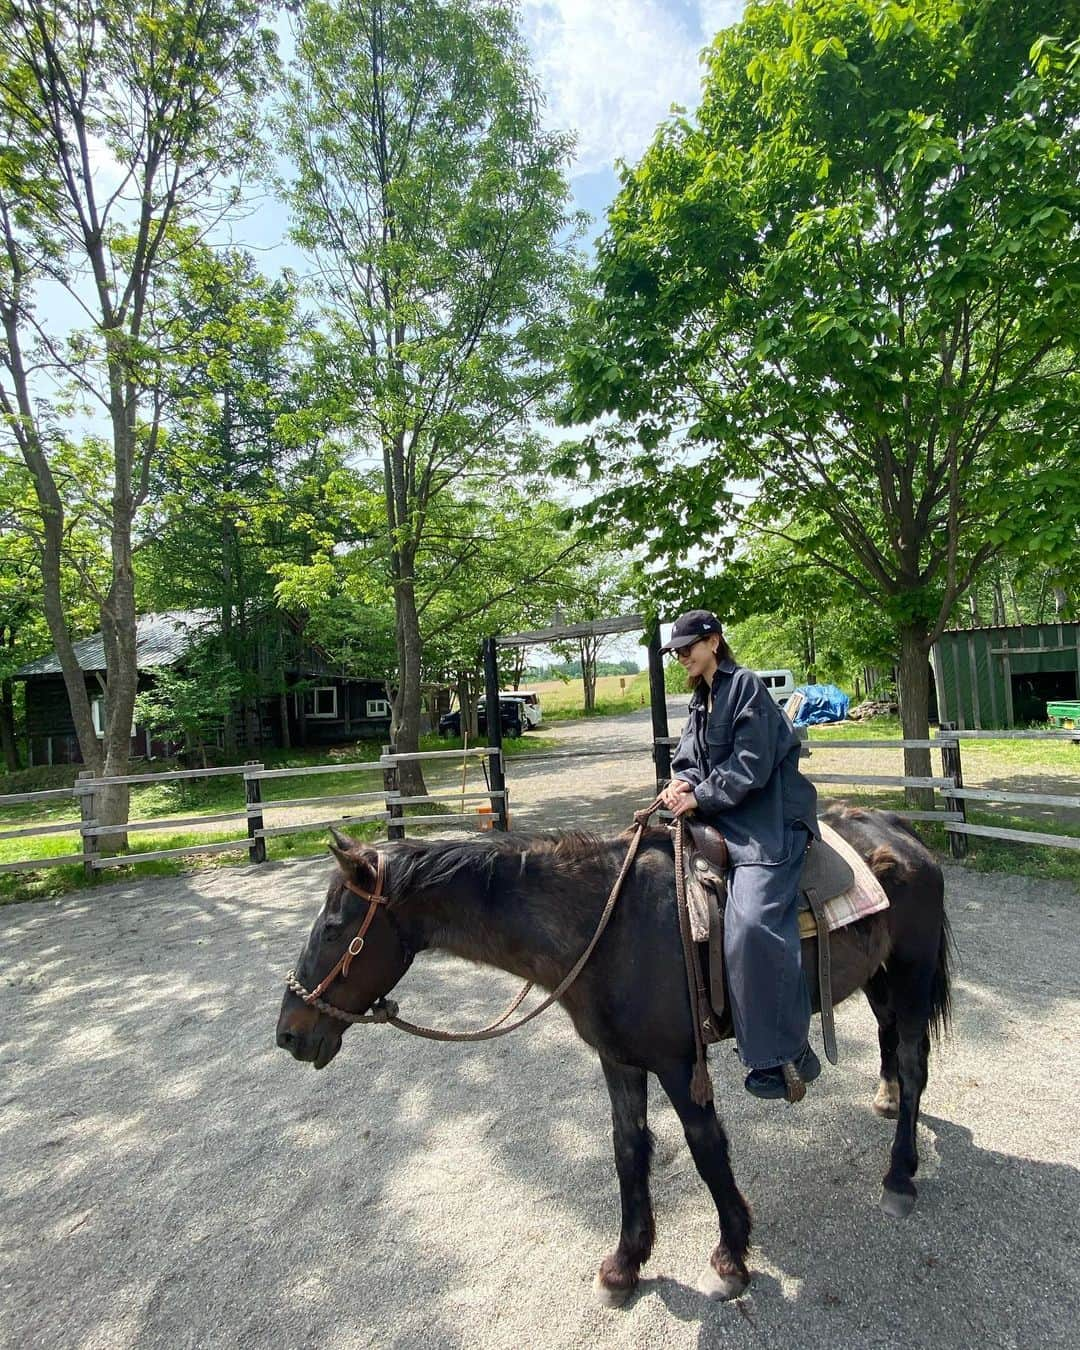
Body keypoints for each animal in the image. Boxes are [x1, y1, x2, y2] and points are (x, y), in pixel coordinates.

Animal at [278, 804, 955, 1301]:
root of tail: (901, 831)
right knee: (891, 1043)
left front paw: (731, 1256)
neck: (607, 924)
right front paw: (626, 1263)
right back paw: (886, 1099)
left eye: (335, 927)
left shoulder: (681, 1066)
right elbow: (628, 1151)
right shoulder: (619, 1061)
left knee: (915, 1061)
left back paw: (900, 1175)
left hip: (911, 975)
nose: (289, 1032)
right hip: (879, 979)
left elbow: (708, 1152)